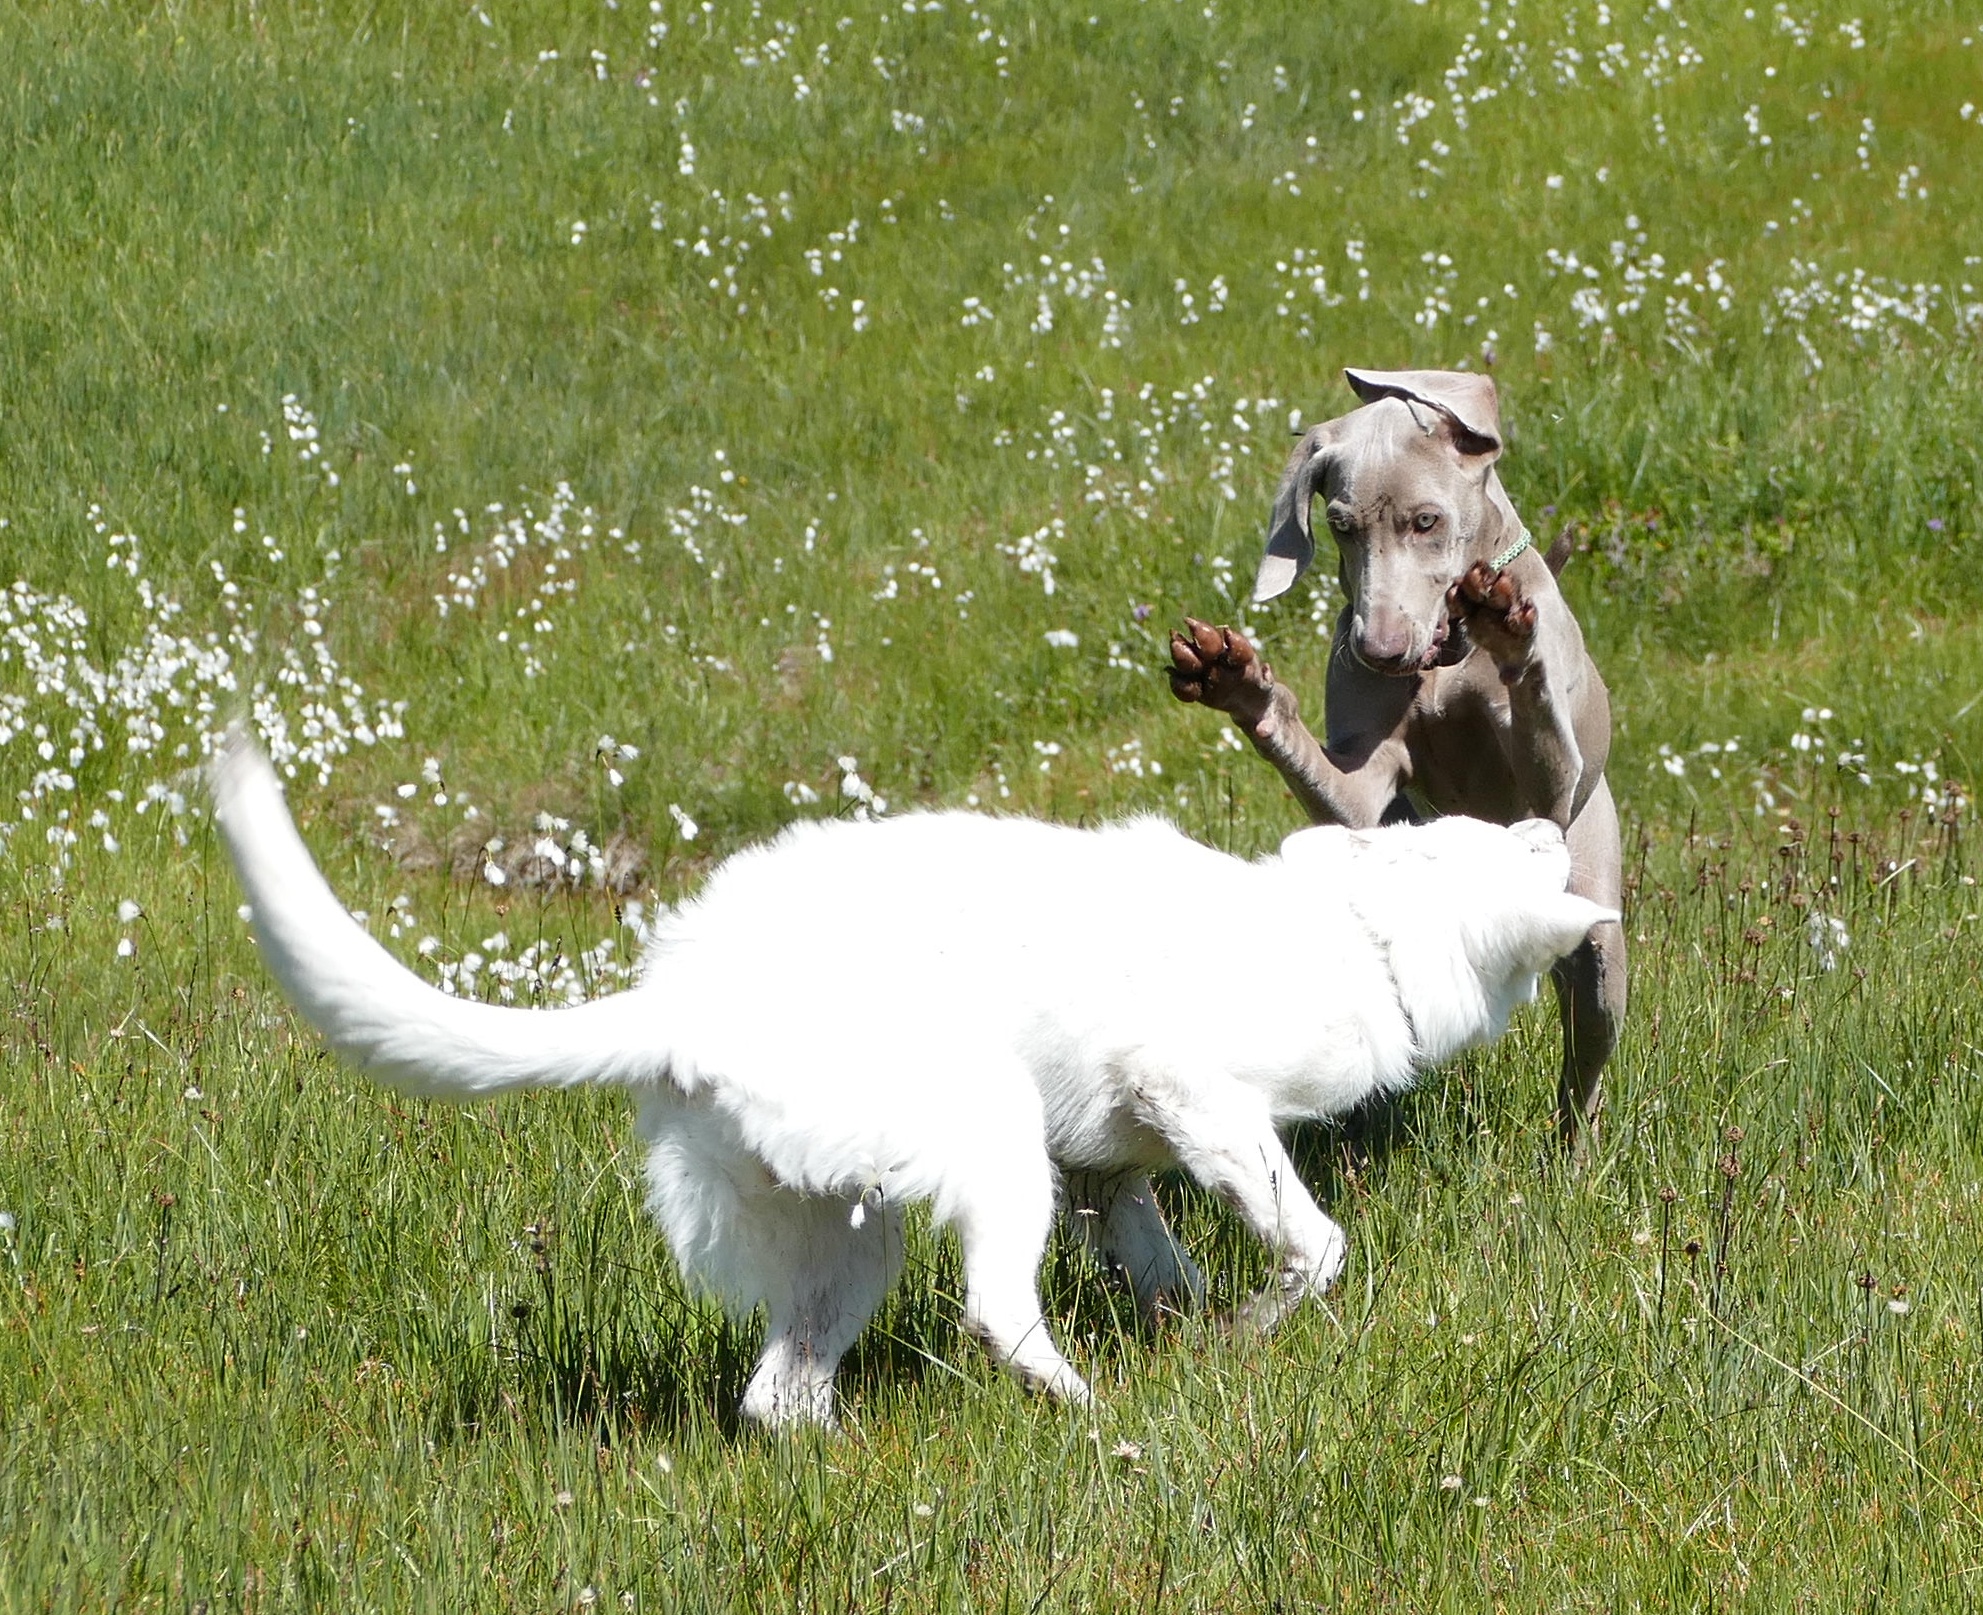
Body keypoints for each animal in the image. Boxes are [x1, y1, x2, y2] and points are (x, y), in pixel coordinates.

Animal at [210, 727, 1613, 1427]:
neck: (1359, 929)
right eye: (1510, 841)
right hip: (989, 1134)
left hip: (855, 1229)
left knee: (776, 1395)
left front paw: (1201, 1336)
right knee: (993, 1313)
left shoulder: (1114, 1175)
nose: (1553, 821)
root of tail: (678, 993)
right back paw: (1090, 1414)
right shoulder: (1192, 1094)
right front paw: (1249, 1338)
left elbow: (1172, 1271)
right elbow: (1314, 1247)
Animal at [1169, 367, 1624, 1153]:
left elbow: (1540, 738)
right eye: (1341, 525)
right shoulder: (1361, 782)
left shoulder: (1555, 788)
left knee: (1584, 1067)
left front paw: (1508, 630)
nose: (1378, 651)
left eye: (1426, 522)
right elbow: (1332, 771)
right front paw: (1238, 682)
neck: (1446, 660)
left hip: (1595, 929)